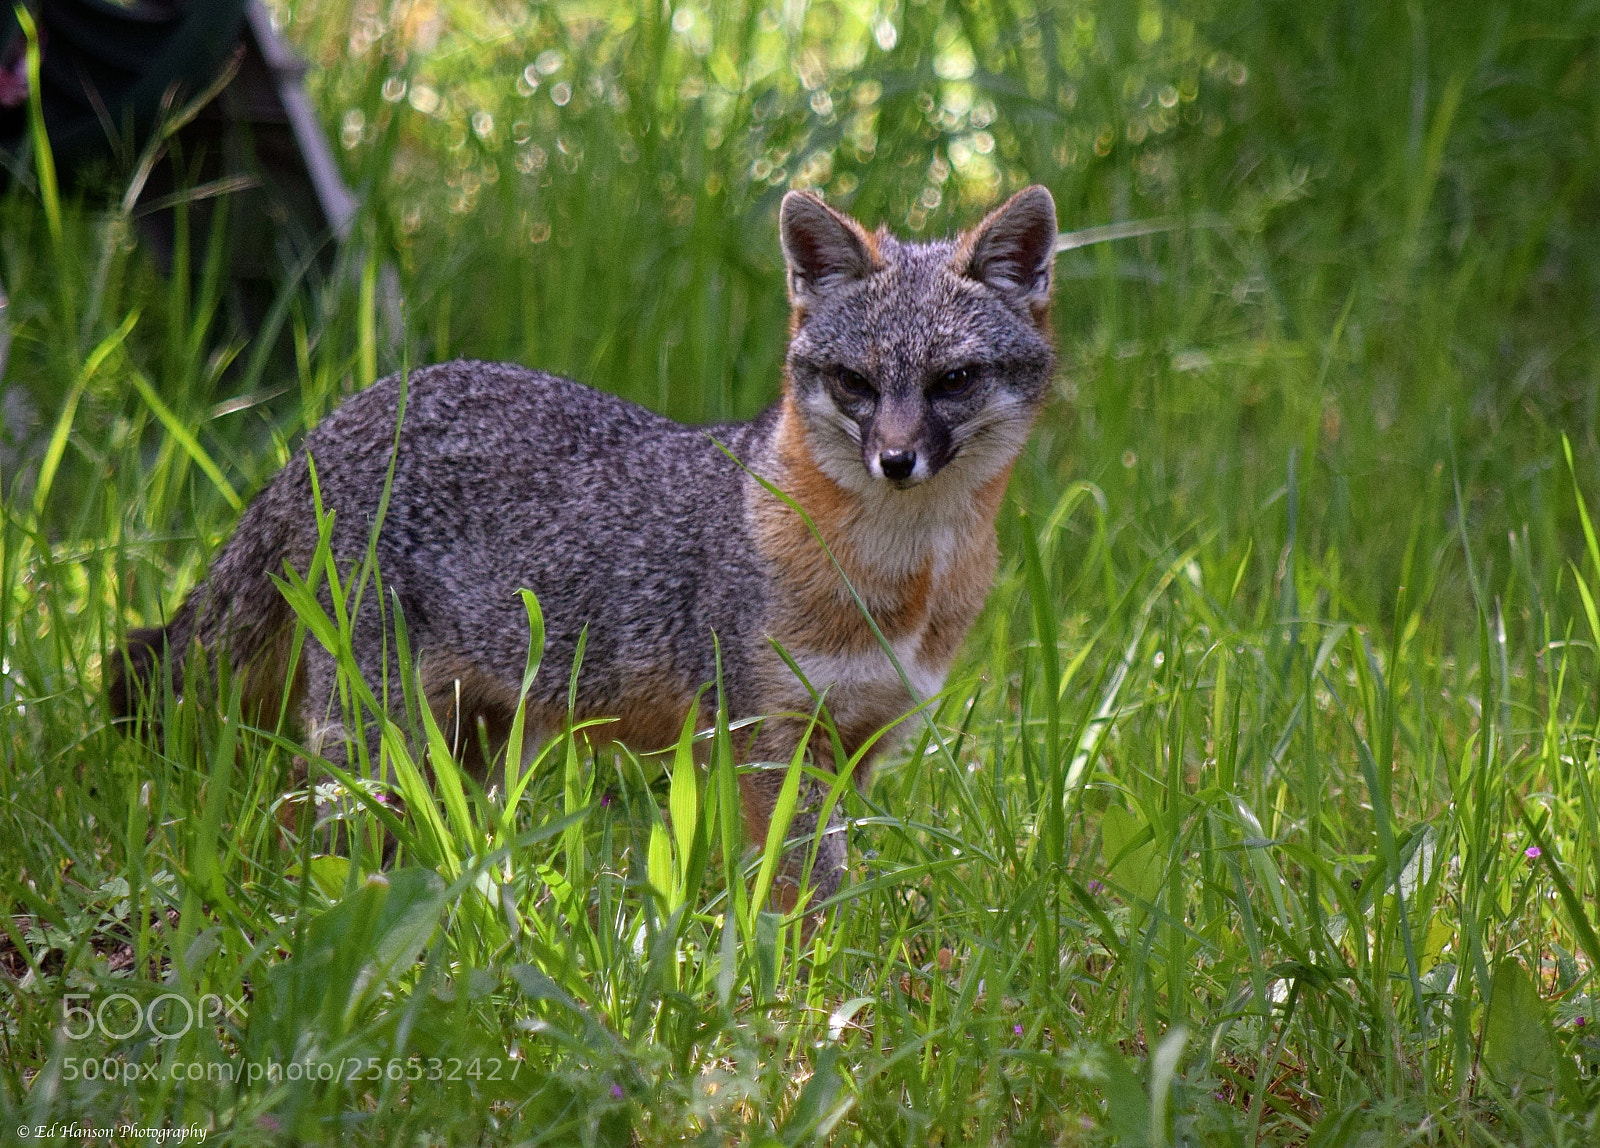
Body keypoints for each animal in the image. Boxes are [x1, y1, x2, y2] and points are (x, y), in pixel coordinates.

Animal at [109, 184, 1060, 906]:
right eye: (855, 383)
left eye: (954, 381)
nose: (896, 461)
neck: (903, 584)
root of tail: (343, 414)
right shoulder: (766, 734)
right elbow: (800, 884)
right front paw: (798, 976)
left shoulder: (859, 740)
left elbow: (838, 872)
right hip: (380, 737)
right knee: (316, 829)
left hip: (474, 744)